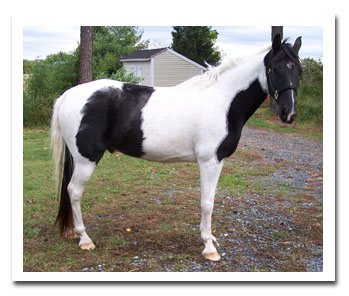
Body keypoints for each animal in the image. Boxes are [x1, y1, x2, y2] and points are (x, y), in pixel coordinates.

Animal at [50, 34, 300, 262]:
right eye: (274, 68)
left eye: (298, 69)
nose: (288, 113)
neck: (222, 101)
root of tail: (68, 95)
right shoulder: (210, 162)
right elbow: (207, 203)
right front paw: (209, 247)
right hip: (86, 159)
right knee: (74, 191)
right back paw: (85, 239)